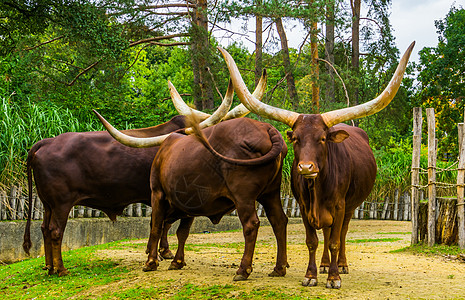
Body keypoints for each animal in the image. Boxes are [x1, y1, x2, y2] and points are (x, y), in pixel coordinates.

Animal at [96, 85, 288, 282]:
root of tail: (267, 128)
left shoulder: (157, 193)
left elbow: (156, 226)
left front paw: (151, 263)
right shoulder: (190, 201)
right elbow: (182, 232)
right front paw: (177, 262)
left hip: (243, 196)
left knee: (251, 224)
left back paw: (243, 270)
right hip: (271, 193)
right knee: (279, 220)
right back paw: (279, 268)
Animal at [219, 42, 416, 288]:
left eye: (322, 139)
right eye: (296, 139)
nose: (306, 168)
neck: (318, 189)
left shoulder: (340, 206)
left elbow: (334, 241)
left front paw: (334, 277)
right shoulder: (304, 207)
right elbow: (313, 240)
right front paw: (312, 274)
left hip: (350, 206)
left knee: (341, 233)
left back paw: (341, 264)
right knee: (328, 232)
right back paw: (323, 264)